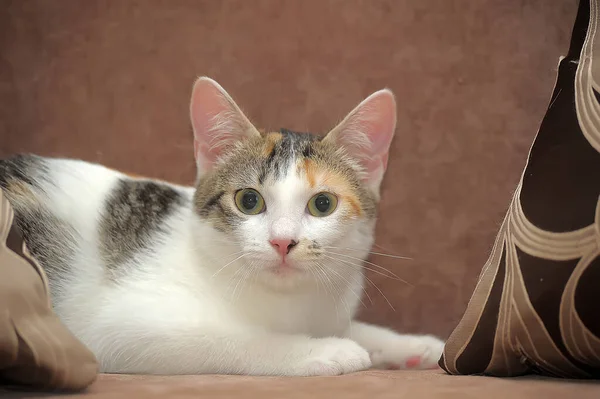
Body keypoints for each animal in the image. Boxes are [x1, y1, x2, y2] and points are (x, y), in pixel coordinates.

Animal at [1, 77, 446, 376]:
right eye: (249, 201)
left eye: (323, 204)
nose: (283, 242)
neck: (288, 304)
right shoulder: (114, 328)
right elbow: (230, 337)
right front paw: (326, 351)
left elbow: (351, 326)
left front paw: (409, 344)